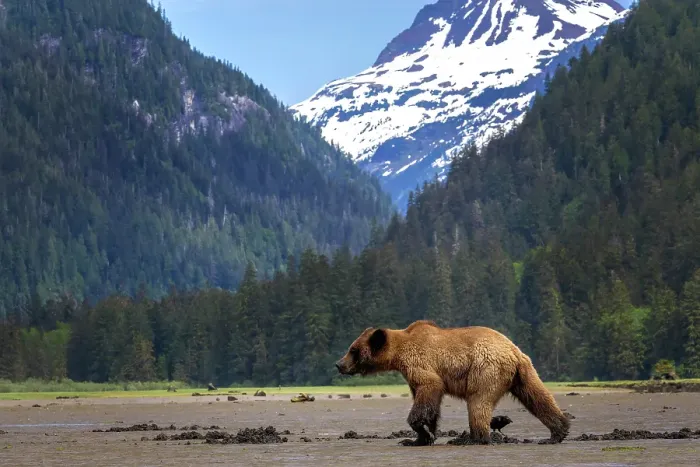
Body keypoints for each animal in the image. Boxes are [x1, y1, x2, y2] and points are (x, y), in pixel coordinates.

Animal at [335, 320, 570, 446]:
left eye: (353, 350)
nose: (339, 364)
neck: (398, 353)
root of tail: (513, 351)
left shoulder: (420, 363)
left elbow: (429, 389)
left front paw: (420, 431)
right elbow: (430, 403)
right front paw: (419, 437)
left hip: (485, 369)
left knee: (478, 402)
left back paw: (471, 438)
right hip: (524, 372)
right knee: (537, 396)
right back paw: (557, 432)